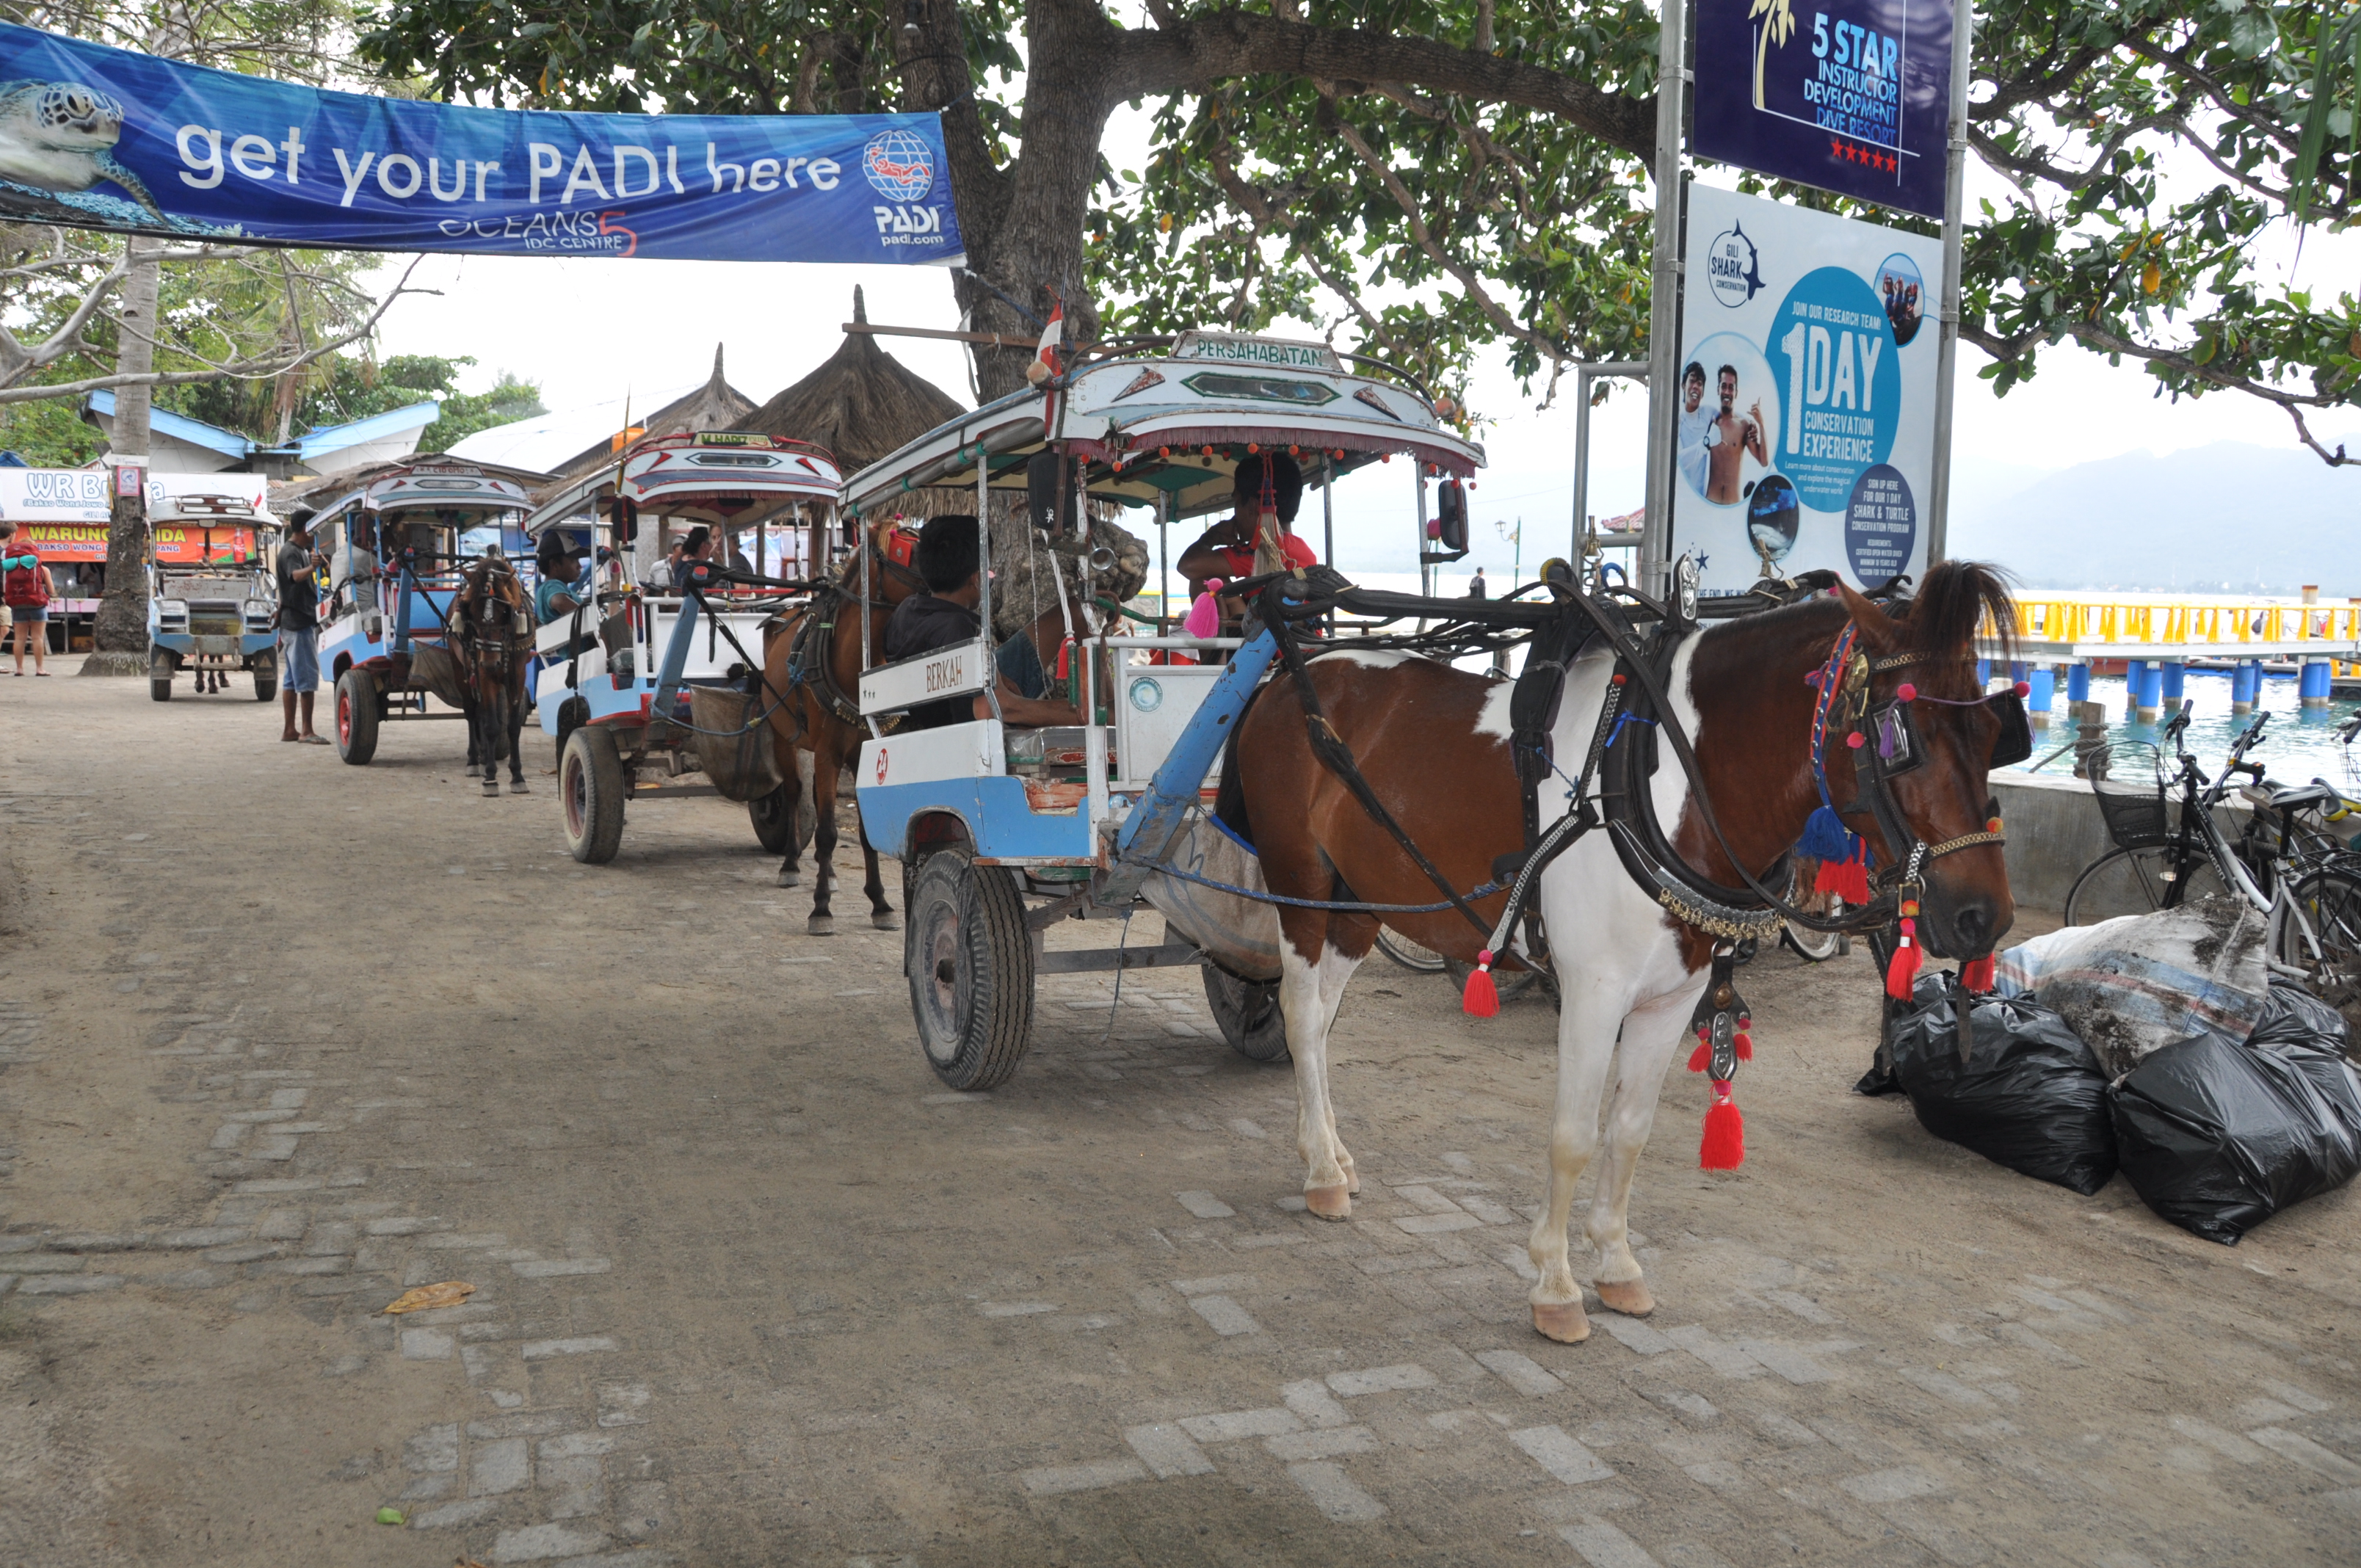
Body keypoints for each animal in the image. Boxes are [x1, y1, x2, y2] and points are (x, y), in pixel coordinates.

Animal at [1227, 564, 2020, 1351]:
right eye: (1902, 736)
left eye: (1993, 732)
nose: (1985, 917)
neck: (1662, 781)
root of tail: (1291, 676)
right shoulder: (1593, 992)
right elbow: (1575, 1137)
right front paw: (1555, 1286)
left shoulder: (1672, 996)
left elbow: (1631, 1131)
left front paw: (1615, 1264)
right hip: (1302, 889)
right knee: (1303, 1017)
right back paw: (1322, 1170)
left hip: (1358, 904)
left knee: (1325, 1018)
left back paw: (1333, 1152)